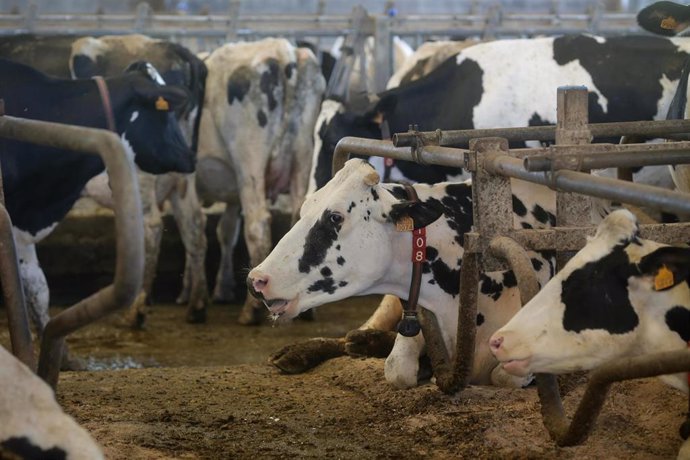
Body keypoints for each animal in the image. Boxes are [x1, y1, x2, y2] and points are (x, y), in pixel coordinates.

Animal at [245, 158, 556, 388]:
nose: (256, 280)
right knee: (353, 334)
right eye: (305, 208)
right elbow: (397, 368)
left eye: (335, 217)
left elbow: (504, 376)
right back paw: (302, 351)